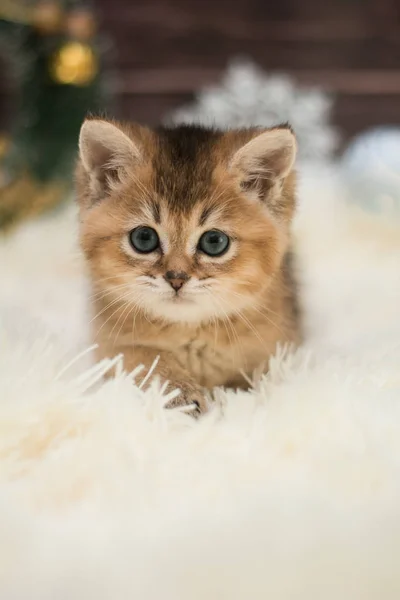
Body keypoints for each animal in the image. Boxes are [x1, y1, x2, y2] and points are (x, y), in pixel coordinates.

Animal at [76, 119, 300, 414]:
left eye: (214, 241)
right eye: (144, 238)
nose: (176, 279)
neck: (189, 332)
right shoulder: (109, 345)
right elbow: (146, 358)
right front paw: (178, 392)